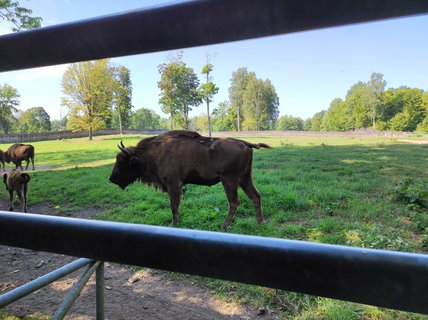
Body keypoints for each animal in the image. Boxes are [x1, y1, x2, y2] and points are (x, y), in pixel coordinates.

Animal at [110, 131, 270, 230]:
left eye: (122, 162)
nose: (111, 178)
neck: (155, 153)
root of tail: (245, 143)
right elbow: (176, 206)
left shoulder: (173, 185)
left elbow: (174, 206)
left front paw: (173, 224)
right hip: (245, 178)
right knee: (255, 196)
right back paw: (261, 222)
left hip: (229, 180)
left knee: (234, 202)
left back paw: (223, 226)